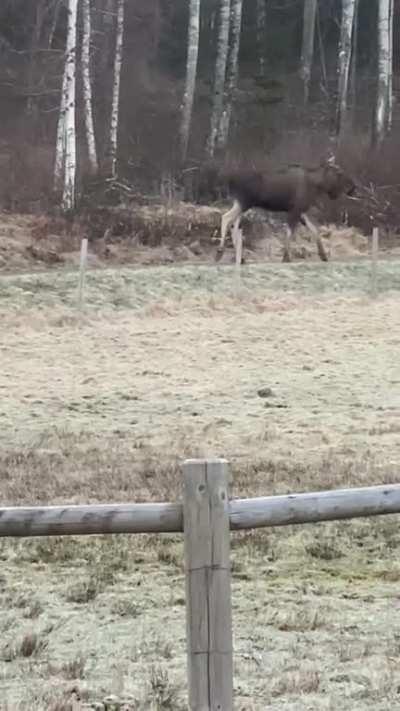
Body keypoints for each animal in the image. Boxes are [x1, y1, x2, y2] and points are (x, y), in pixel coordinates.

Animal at [216, 158, 356, 264]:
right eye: (340, 172)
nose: (353, 187)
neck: (317, 185)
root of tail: (229, 181)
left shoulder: (301, 211)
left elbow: (314, 230)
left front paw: (323, 255)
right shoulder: (295, 210)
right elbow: (290, 232)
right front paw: (286, 257)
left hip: (240, 204)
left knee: (234, 225)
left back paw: (240, 258)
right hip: (244, 202)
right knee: (226, 218)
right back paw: (220, 252)